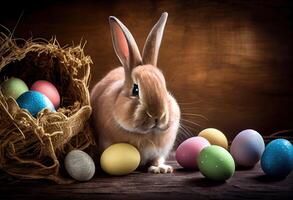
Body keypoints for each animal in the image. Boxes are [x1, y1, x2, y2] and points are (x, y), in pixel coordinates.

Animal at [90, 12, 179, 173]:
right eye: (135, 89)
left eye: (164, 88)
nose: (157, 115)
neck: (146, 133)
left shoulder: (159, 152)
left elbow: (156, 159)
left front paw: (161, 169)